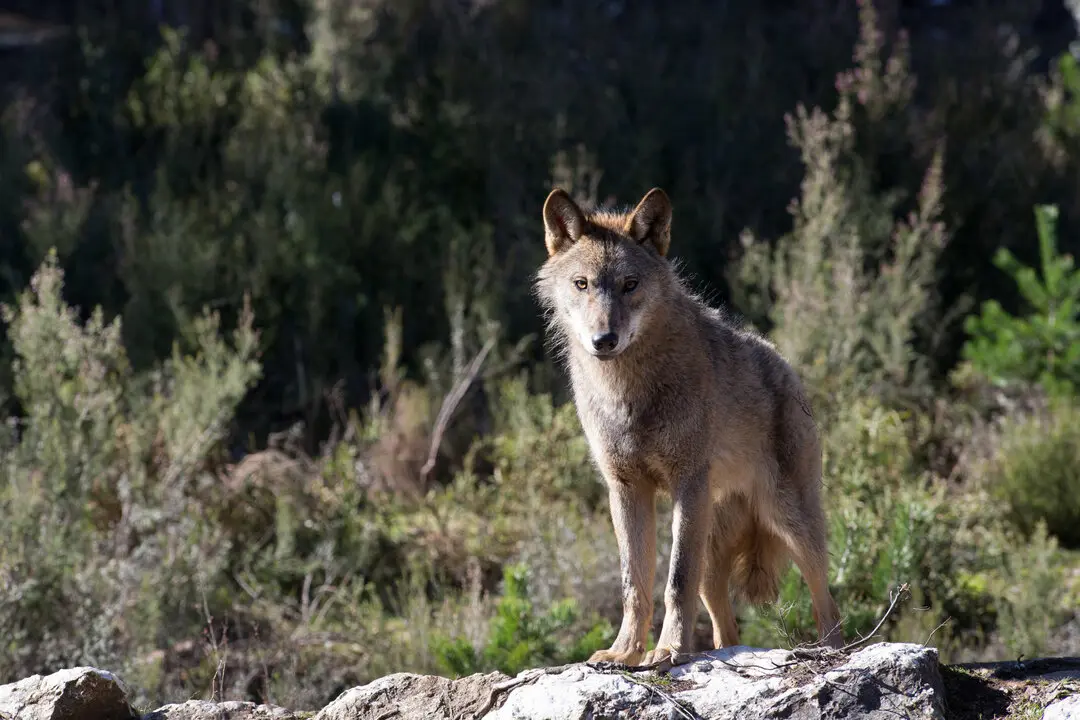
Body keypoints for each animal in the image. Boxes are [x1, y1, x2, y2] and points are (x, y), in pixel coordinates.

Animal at [533, 187, 844, 666]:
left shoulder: (687, 482)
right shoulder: (625, 489)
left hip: (788, 521)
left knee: (827, 603)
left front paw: (668, 650)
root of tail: (785, 364)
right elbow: (634, 585)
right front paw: (625, 652)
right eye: (582, 284)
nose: (604, 340)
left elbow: (675, 581)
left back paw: (830, 652)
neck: (628, 392)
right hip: (714, 552)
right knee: (724, 627)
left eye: (630, 284)